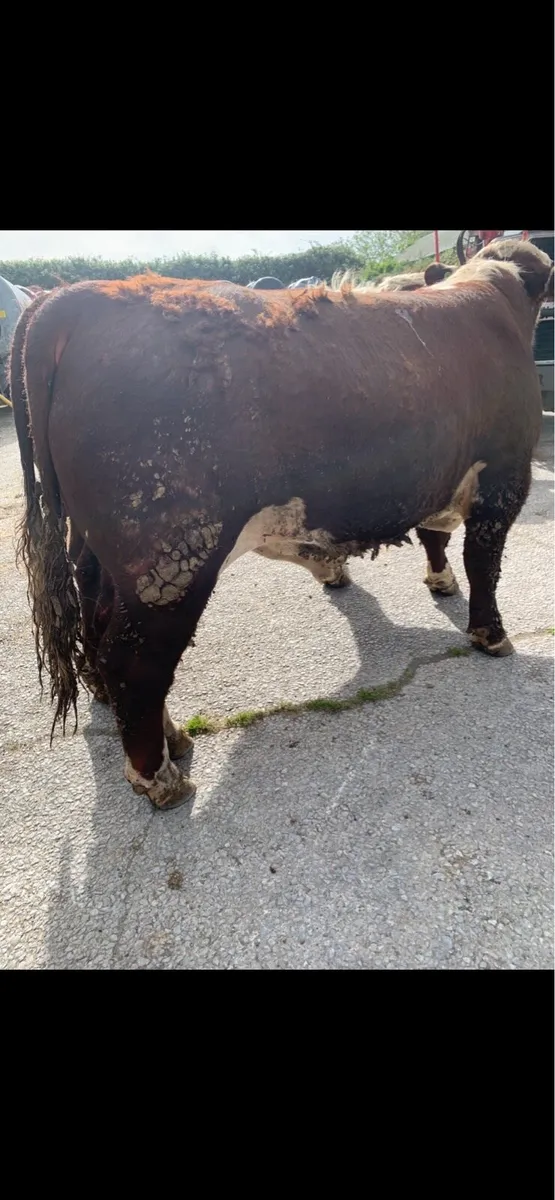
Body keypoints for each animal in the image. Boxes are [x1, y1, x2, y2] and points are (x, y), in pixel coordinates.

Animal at [11, 240, 553, 811]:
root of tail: (76, 297)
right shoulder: (505, 474)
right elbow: (484, 561)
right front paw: (492, 633)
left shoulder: (441, 474)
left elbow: (436, 535)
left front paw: (440, 581)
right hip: (170, 558)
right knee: (132, 663)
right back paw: (160, 778)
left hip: (105, 558)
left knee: (98, 632)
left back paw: (169, 737)